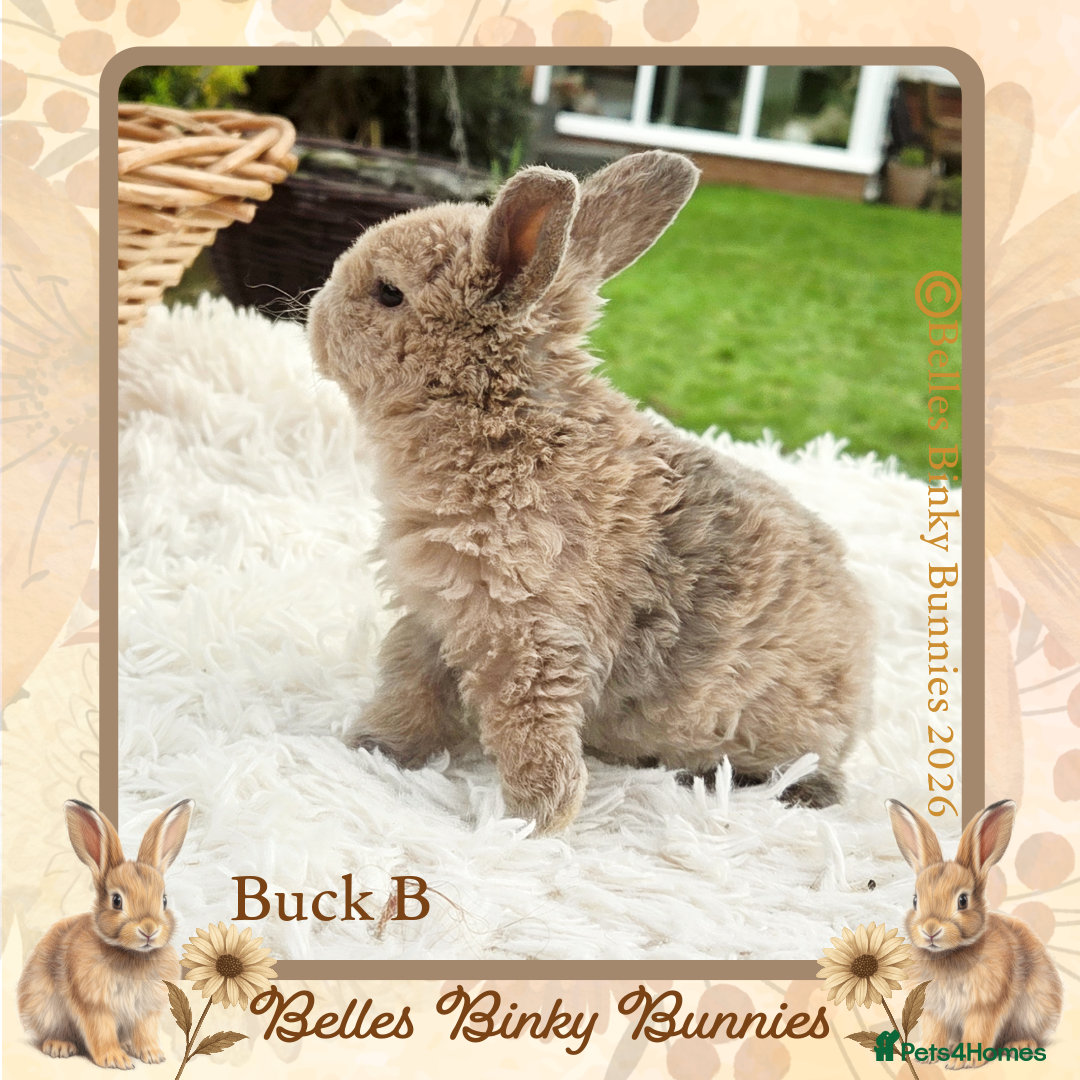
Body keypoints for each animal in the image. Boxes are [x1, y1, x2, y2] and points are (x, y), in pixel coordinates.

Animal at [17, 799, 194, 1069]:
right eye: (117, 900)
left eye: (164, 900)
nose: (149, 930)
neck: (131, 954)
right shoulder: (95, 1005)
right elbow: (101, 1031)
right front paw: (115, 1060)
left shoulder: (145, 1010)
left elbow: (145, 1031)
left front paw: (152, 1055)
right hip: (45, 1007)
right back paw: (59, 1046)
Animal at [308, 149, 875, 834]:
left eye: (388, 293)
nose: (313, 318)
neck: (504, 425)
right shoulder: (433, 617)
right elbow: (409, 690)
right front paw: (374, 749)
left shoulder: (531, 638)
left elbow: (532, 734)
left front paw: (531, 823)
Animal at [886, 798, 1063, 1066]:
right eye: (915, 900)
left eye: (962, 901)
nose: (930, 930)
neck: (949, 954)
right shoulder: (935, 1009)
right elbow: (934, 1031)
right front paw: (926, 1056)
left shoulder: (984, 1005)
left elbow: (978, 1031)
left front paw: (963, 1060)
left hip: (1034, 1009)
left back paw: (1019, 1045)